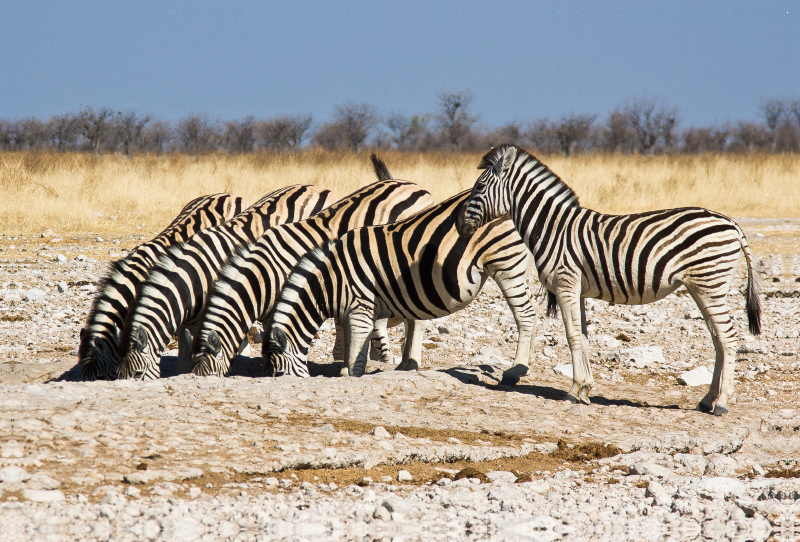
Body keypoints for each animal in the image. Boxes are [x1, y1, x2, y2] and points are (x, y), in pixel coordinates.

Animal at [266, 191, 536, 382]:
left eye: (278, 375)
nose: (276, 378)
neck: (331, 281)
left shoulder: (361, 308)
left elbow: (356, 357)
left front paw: (352, 376)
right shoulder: (352, 312)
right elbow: (351, 351)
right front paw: (344, 372)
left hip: (506, 263)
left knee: (525, 314)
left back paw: (516, 370)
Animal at [456, 144, 764, 416]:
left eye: (479, 188)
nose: (459, 226)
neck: (552, 228)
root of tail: (731, 222)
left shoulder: (566, 284)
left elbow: (571, 337)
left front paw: (573, 390)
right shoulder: (577, 290)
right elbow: (582, 337)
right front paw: (585, 389)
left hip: (710, 283)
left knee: (728, 337)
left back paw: (721, 403)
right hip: (702, 286)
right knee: (718, 339)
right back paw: (707, 400)